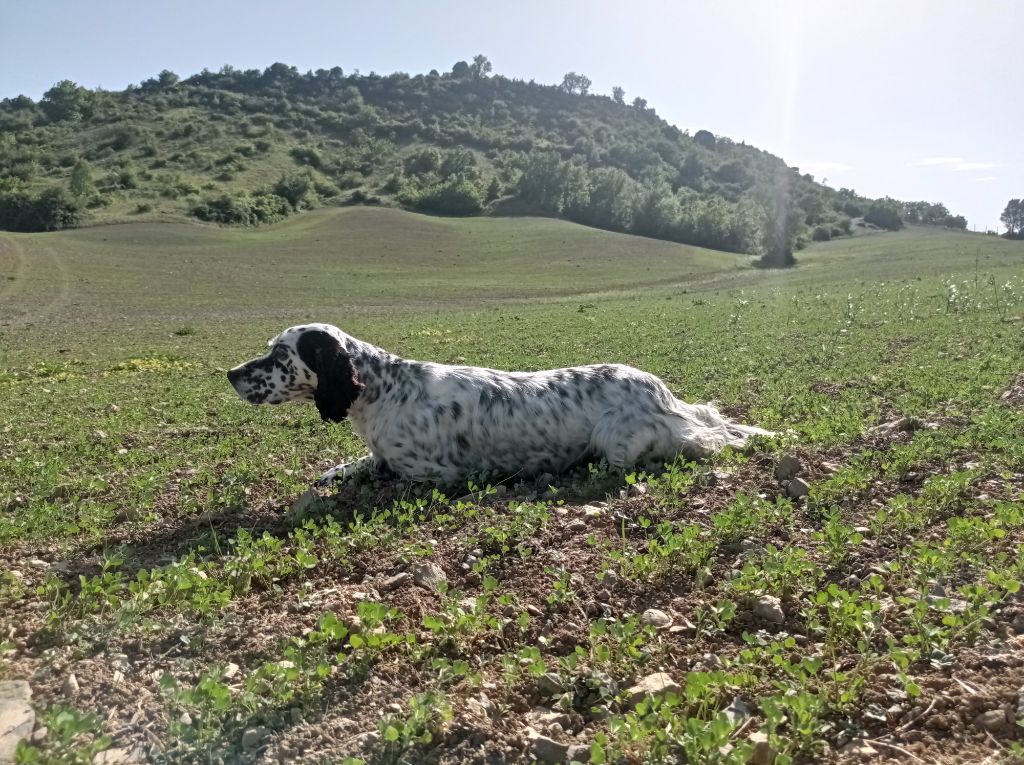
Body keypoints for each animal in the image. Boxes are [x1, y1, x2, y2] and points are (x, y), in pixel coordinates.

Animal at [224, 323, 770, 485]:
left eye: (280, 354)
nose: (230, 374)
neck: (386, 389)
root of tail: (662, 393)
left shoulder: (431, 473)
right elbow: (355, 464)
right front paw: (330, 473)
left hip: (617, 441)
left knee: (710, 439)